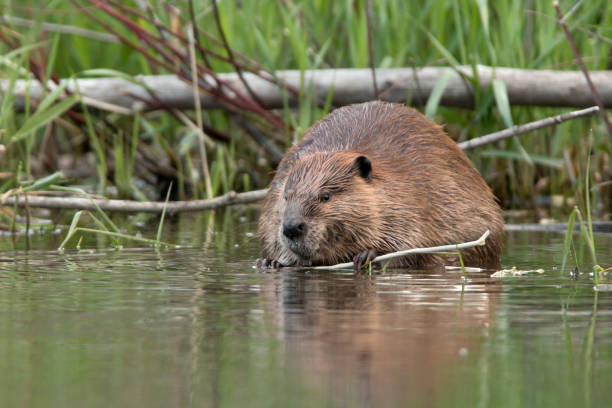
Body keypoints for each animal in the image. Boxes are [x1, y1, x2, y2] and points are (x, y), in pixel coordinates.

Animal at [256, 100, 504, 270]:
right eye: (286, 196)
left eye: (325, 196)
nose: (291, 227)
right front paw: (270, 262)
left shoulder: (414, 199)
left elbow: (412, 246)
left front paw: (367, 255)